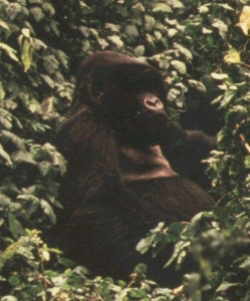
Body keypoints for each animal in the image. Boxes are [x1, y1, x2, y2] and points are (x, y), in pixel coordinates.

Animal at [55, 50, 215, 284]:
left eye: (152, 87)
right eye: (136, 87)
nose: (154, 102)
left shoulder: (168, 130)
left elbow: (198, 148)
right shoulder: (85, 129)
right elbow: (101, 197)